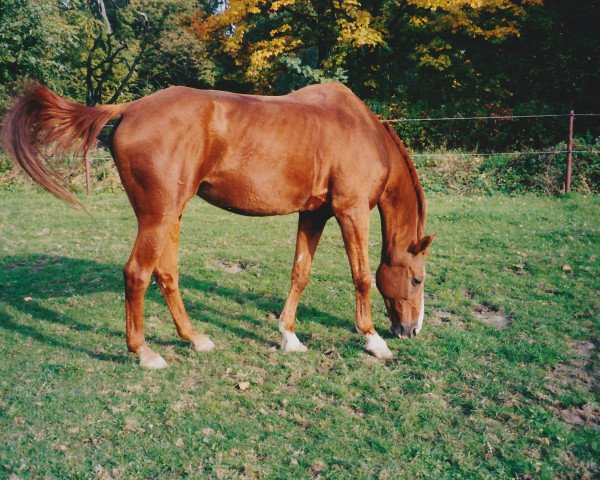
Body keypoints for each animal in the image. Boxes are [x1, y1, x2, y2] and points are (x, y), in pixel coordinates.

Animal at [2, 81, 434, 368]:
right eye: (416, 279)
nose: (411, 330)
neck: (361, 129)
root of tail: (130, 107)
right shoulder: (351, 211)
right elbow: (361, 276)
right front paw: (374, 341)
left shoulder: (313, 214)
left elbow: (300, 272)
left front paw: (289, 336)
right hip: (157, 217)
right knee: (137, 273)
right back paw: (145, 353)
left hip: (171, 215)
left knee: (166, 273)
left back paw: (195, 339)